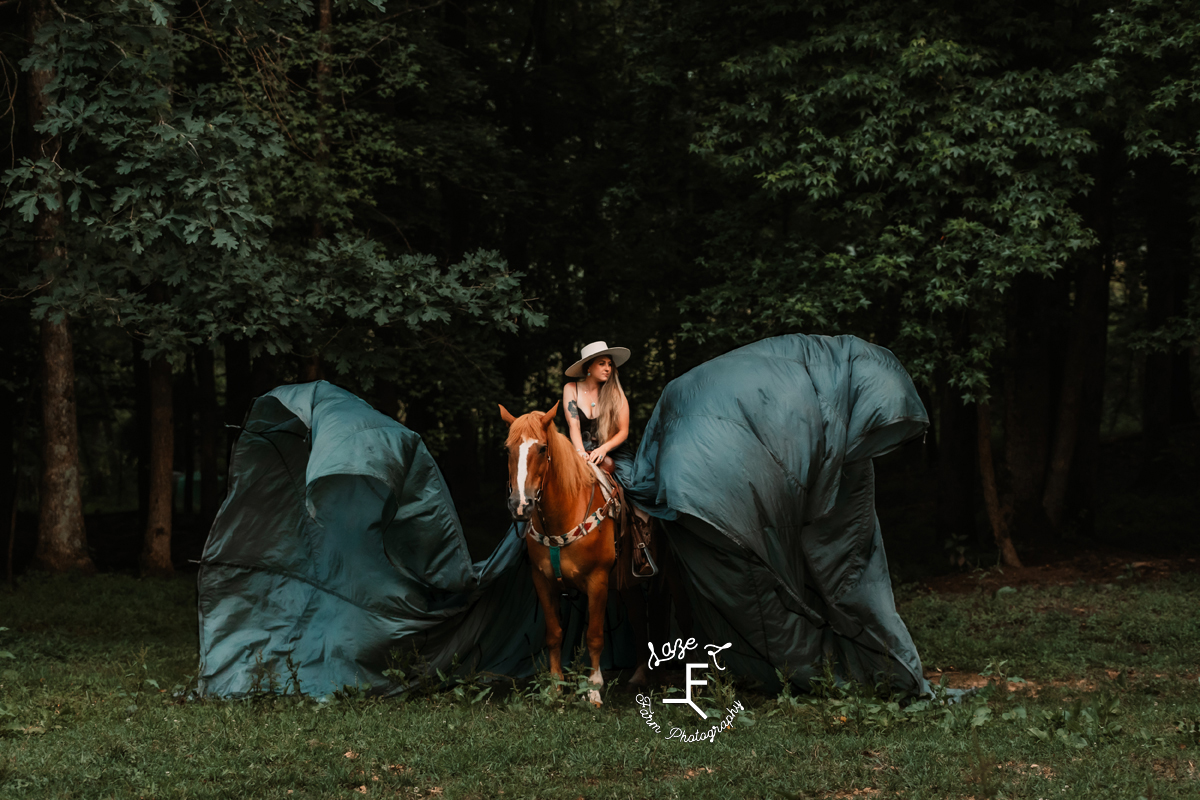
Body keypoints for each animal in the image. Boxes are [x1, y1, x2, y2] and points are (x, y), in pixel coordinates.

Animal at [499, 402, 619, 705]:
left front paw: (593, 687)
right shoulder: (542, 581)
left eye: (543, 449)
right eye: (507, 449)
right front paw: (555, 685)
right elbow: (554, 633)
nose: (521, 505)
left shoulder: (599, 581)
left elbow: (594, 635)